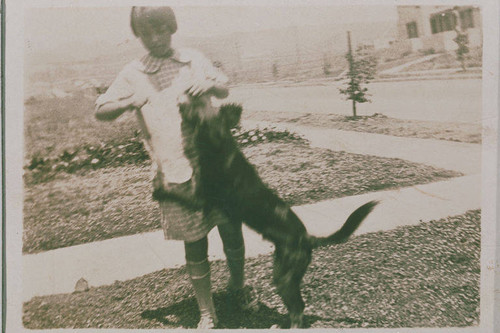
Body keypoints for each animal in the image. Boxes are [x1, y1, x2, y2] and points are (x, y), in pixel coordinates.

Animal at [154, 95, 376, 326]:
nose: (181, 99)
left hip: (285, 277)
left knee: (298, 307)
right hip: (282, 268)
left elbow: (176, 191)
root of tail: (307, 238)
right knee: (299, 305)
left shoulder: (199, 198)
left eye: (197, 108)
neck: (221, 145)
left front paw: (159, 188)